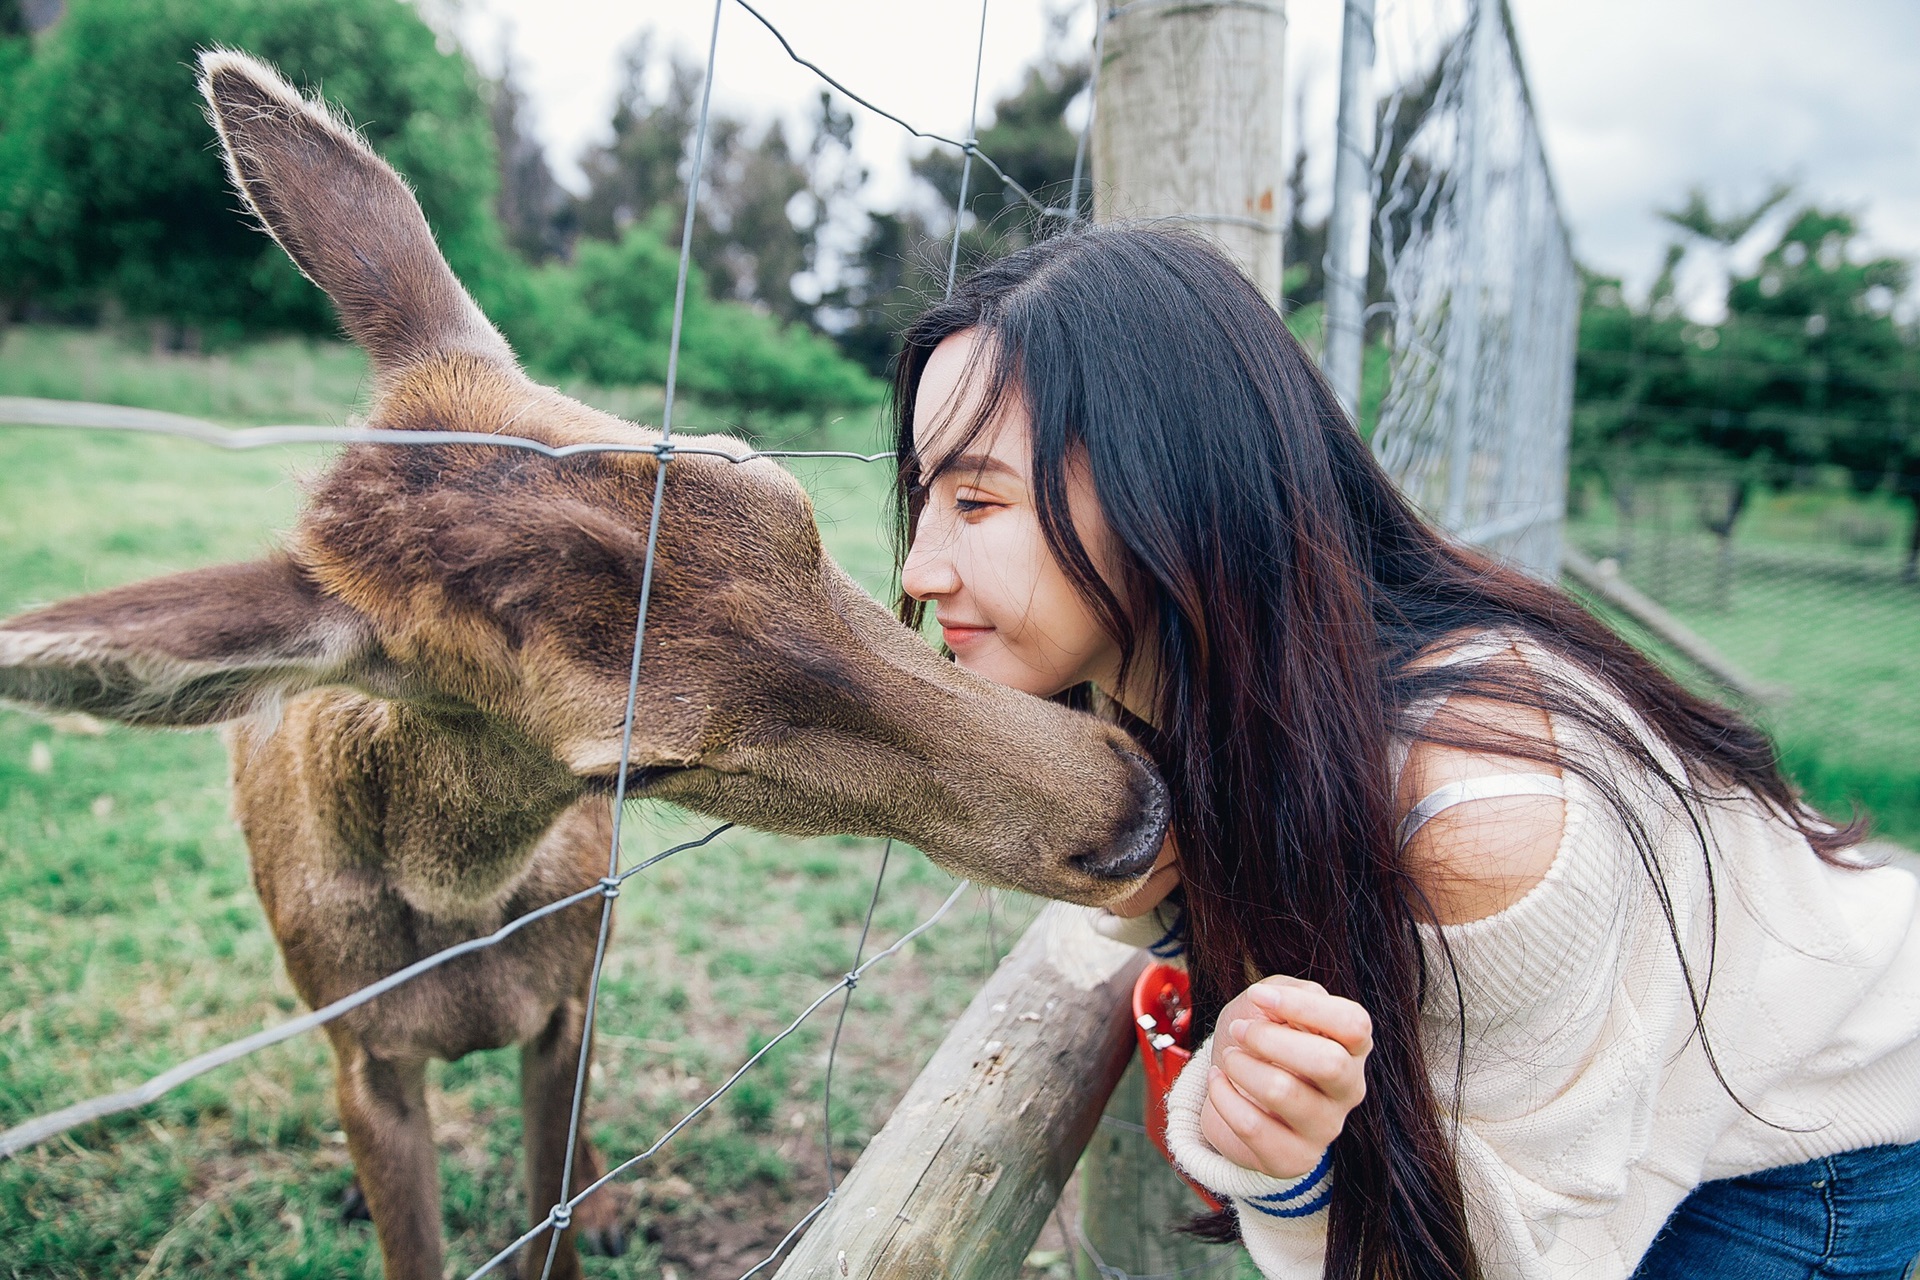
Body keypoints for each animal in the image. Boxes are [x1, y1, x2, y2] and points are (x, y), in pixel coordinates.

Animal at [0, 52, 1167, 1280]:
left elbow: (550, 1191)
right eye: (637, 764)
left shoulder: (564, 1001)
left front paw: (588, 1210)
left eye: (781, 495)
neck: (455, 921)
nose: (1132, 810)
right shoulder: (359, 1049)